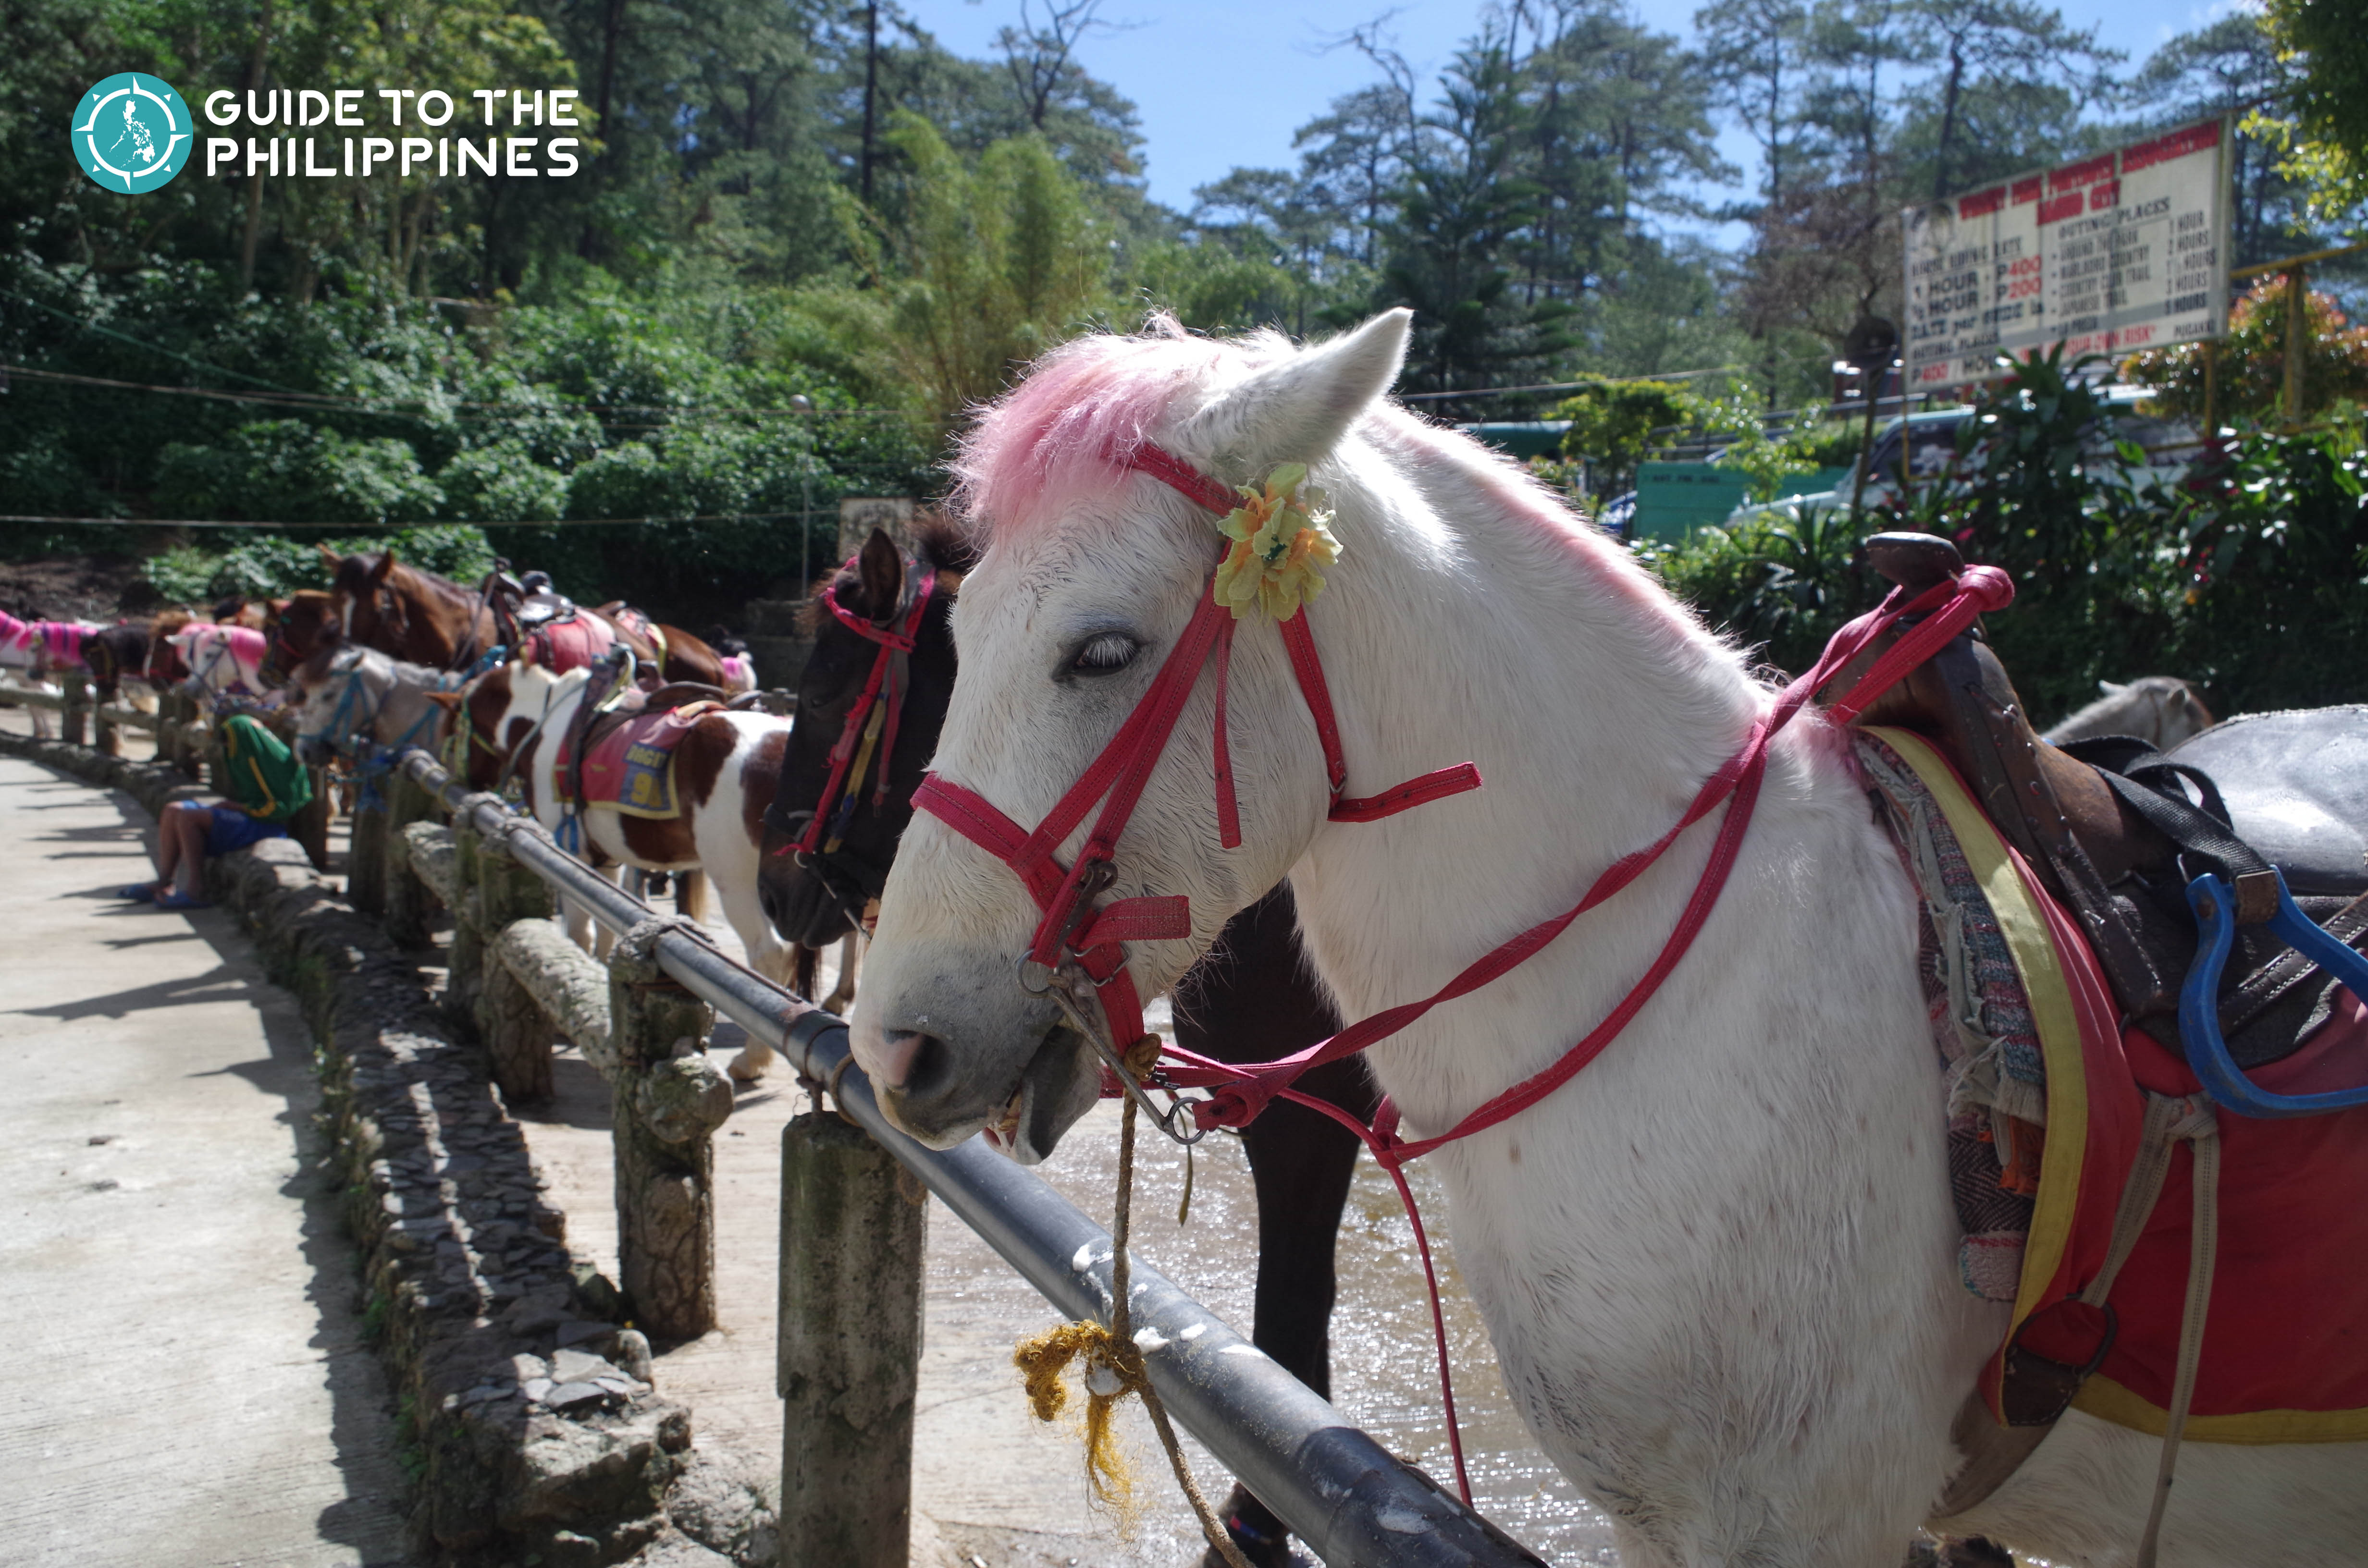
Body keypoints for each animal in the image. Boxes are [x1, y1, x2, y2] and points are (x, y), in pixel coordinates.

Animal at [433, 659, 793, 1082]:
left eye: (452, 730)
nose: (459, 786)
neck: (548, 725)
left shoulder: (571, 851)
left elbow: (579, 929)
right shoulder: (605, 859)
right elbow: (606, 921)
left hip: (737, 882)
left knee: (769, 954)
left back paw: (752, 1059)